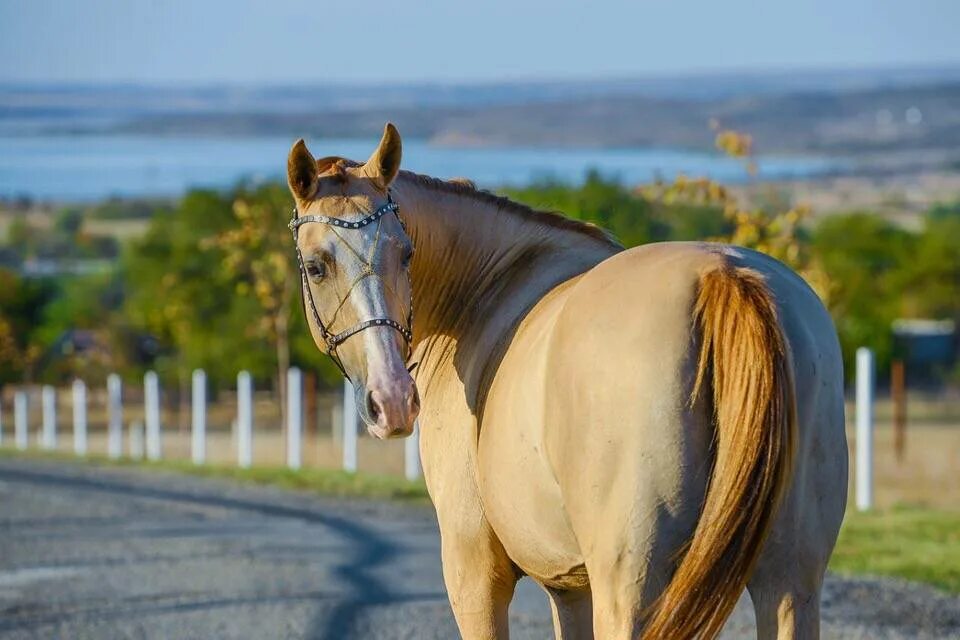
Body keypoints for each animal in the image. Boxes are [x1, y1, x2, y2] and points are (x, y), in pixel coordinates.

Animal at [284, 122, 848, 636]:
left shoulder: (473, 573)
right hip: (789, 582)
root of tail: (722, 275)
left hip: (632, 590)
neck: (484, 294)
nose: (394, 400)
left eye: (406, 254)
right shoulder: (569, 587)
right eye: (315, 267)